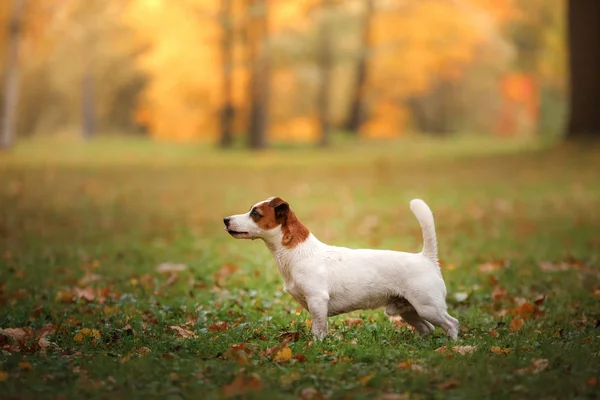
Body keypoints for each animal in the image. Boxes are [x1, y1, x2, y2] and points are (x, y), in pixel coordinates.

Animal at [225, 198, 460, 340]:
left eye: (255, 213)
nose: (226, 219)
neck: (298, 252)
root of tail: (427, 259)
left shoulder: (317, 301)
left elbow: (319, 330)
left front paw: (317, 346)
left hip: (429, 307)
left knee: (452, 323)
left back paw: (451, 345)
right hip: (409, 311)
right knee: (428, 328)